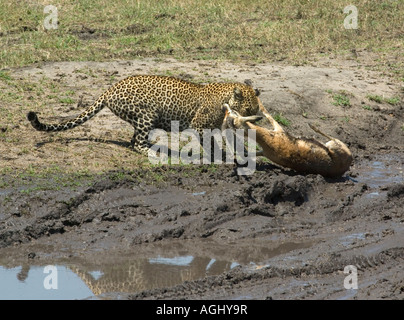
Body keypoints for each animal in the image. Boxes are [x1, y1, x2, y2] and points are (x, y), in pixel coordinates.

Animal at [28, 75, 262, 155]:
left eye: (254, 111)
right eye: (247, 110)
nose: (249, 121)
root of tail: (110, 89)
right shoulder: (198, 125)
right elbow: (209, 143)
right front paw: (217, 155)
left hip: (140, 118)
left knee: (133, 140)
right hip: (147, 114)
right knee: (137, 143)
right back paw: (151, 151)